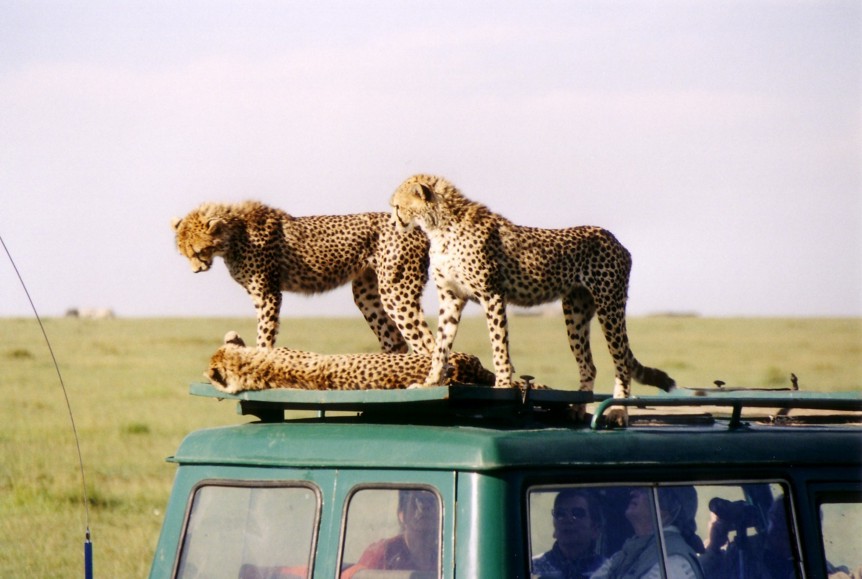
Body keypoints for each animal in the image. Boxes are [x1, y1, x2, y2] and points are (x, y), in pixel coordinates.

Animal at [174, 199, 438, 354]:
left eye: (198, 251)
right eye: (184, 253)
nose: (196, 270)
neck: (234, 234)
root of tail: (418, 230)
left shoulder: (267, 294)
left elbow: (265, 332)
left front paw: (262, 359)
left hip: (397, 291)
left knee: (426, 342)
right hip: (367, 293)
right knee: (396, 339)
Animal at [388, 174, 680, 424]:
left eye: (398, 206)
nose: (394, 222)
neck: (440, 225)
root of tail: (613, 238)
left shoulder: (493, 294)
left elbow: (499, 346)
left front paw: (502, 385)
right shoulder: (451, 298)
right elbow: (440, 346)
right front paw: (430, 382)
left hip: (610, 306)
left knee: (621, 364)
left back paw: (618, 412)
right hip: (575, 313)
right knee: (589, 365)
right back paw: (577, 410)